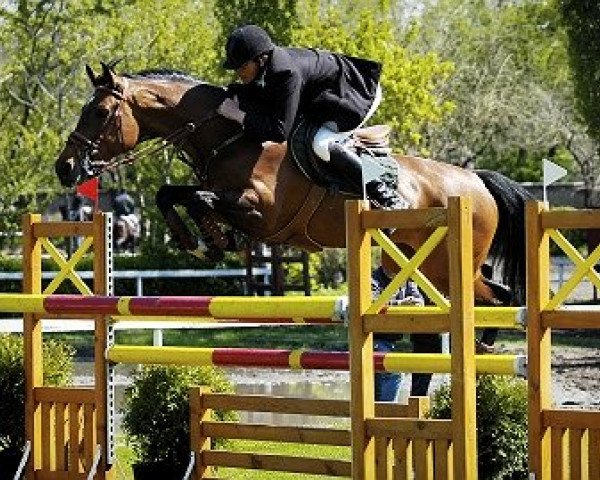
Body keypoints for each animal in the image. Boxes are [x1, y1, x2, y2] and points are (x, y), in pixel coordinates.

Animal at [52, 63, 528, 368]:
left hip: (446, 264)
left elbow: (201, 199)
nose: (65, 168)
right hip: (422, 263)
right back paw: (484, 347)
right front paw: (199, 242)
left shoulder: (260, 210)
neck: (234, 136)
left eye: (99, 112)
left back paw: (485, 348)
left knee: (498, 297)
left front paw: (212, 238)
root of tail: (476, 180)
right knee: (498, 291)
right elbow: (170, 193)